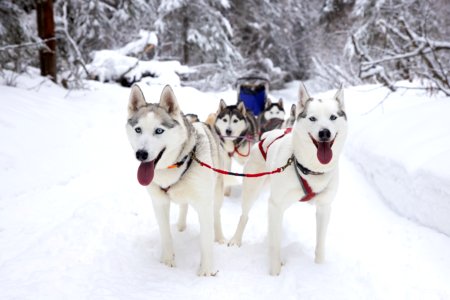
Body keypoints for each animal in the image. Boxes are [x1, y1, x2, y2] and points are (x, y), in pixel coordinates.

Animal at [125, 85, 227, 276]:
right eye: (138, 129)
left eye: (159, 130)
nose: (141, 154)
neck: (175, 167)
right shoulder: (159, 203)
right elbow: (165, 234)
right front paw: (167, 261)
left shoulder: (204, 205)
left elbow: (205, 240)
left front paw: (206, 270)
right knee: (183, 206)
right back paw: (180, 226)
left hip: (216, 193)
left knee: (216, 215)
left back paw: (219, 237)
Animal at [229, 82, 348, 274]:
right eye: (312, 118)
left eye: (333, 117)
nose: (324, 133)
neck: (309, 169)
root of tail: (266, 135)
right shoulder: (276, 204)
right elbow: (275, 245)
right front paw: (274, 272)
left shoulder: (324, 207)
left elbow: (320, 243)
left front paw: (319, 268)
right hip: (253, 189)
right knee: (245, 216)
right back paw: (236, 240)